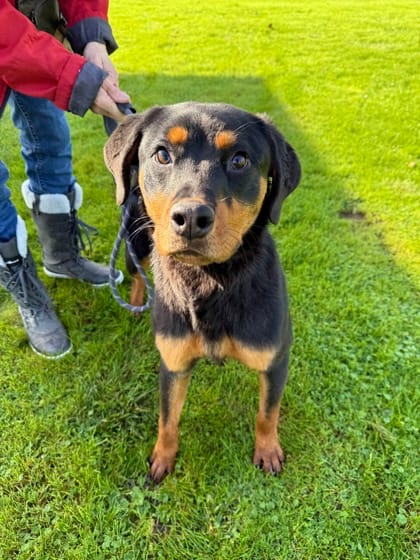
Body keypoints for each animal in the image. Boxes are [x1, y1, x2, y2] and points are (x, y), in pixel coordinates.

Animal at [104, 102, 301, 483]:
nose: (191, 218)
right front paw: (162, 458)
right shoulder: (173, 362)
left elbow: (267, 413)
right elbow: (167, 418)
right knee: (138, 274)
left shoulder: (275, 358)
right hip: (134, 242)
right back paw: (136, 302)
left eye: (240, 160)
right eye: (162, 155)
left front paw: (268, 450)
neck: (208, 280)